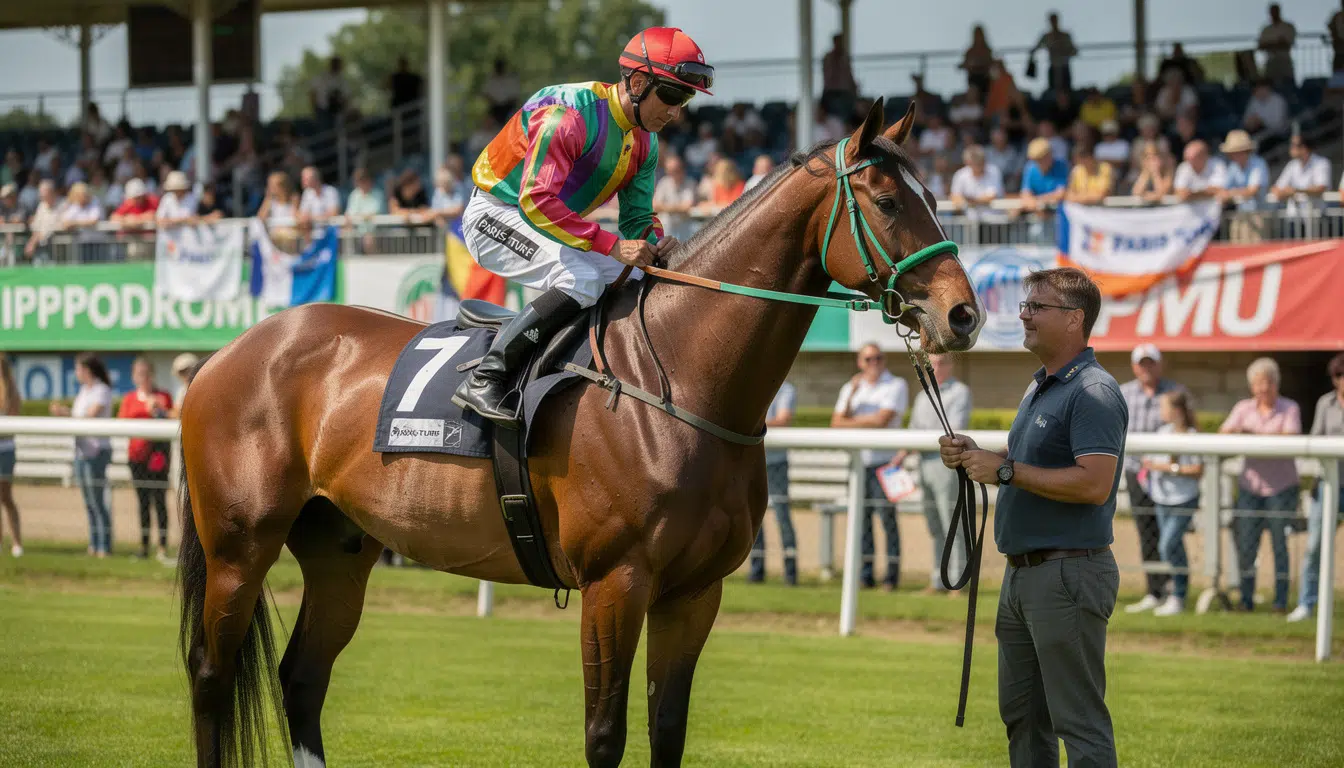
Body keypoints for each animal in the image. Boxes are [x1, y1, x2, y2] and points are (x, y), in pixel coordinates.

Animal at [176, 98, 983, 768]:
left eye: (936, 200)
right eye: (887, 201)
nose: (963, 315)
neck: (677, 380)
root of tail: (231, 351)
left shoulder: (695, 591)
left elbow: (667, 731)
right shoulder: (614, 582)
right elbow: (605, 735)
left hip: (339, 549)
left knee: (302, 678)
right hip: (240, 546)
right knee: (212, 676)